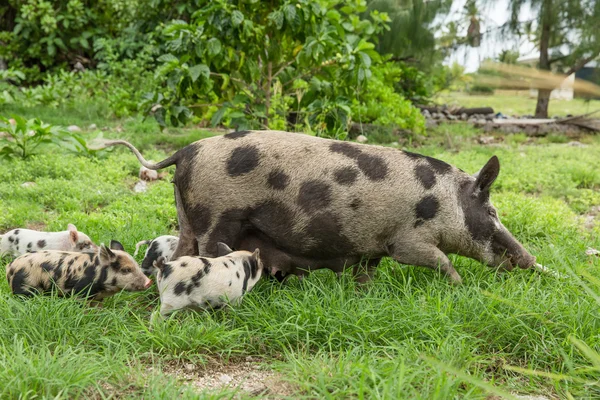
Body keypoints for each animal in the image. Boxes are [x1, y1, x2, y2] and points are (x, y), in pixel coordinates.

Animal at [102, 130, 536, 282]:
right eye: (493, 213)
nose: (530, 260)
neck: (441, 202)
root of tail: (185, 151)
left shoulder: (372, 247)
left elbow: (366, 270)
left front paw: (363, 291)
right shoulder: (408, 241)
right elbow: (440, 260)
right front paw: (459, 285)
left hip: (186, 216)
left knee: (180, 249)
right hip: (217, 215)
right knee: (209, 251)